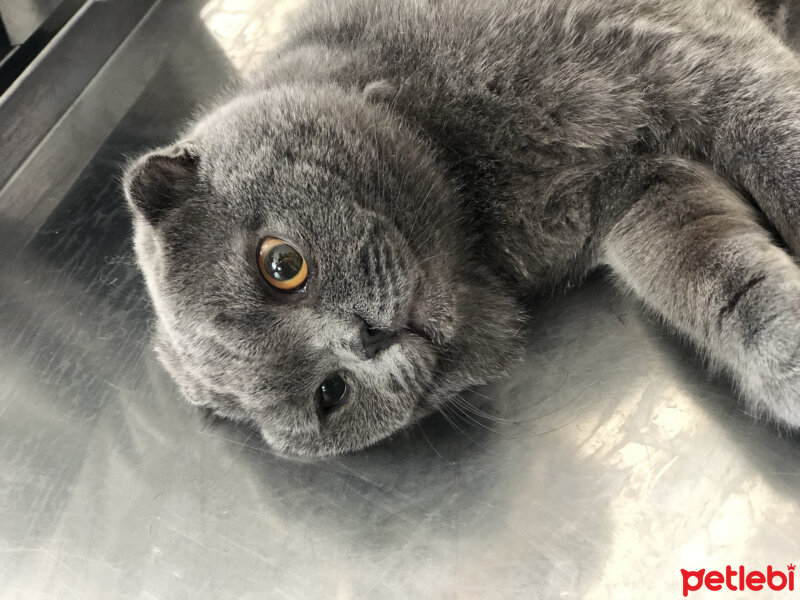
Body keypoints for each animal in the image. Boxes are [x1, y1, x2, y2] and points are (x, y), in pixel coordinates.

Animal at [122, 0, 800, 454]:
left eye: (282, 266)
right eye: (330, 395)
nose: (365, 337)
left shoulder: (674, 53)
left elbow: (777, 140)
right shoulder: (635, 195)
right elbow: (718, 283)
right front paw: (787, 356)